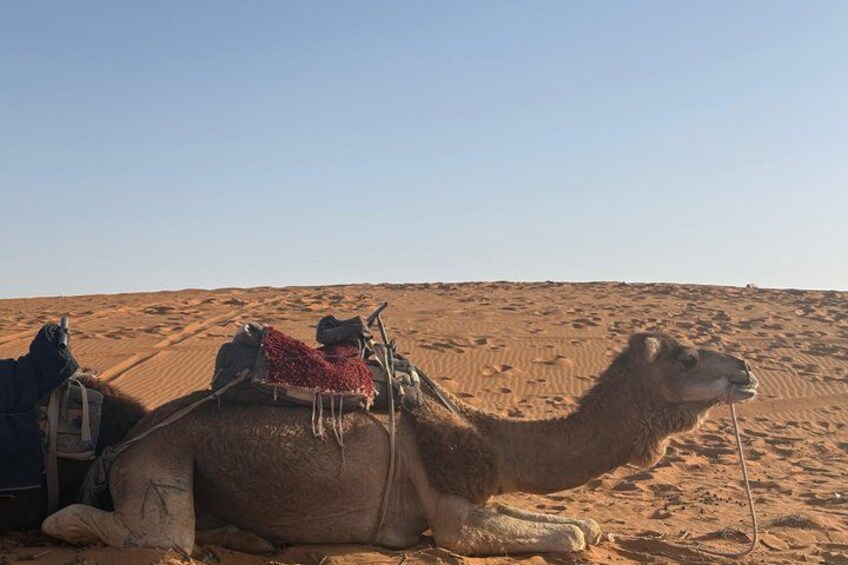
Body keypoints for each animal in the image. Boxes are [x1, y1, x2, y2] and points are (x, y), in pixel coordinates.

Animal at [43, 332, 758, 556]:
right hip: (158, 465)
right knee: (154, 536)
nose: (747, 371)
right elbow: (570, 536)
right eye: (688, 357)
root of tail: (126, 441)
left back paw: (249, 536)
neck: (491, 435)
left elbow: (584, 524)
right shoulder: (454, 514)